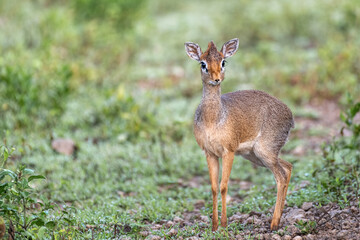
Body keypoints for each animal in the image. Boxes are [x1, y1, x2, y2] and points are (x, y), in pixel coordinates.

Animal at [184, 39, 294, 231]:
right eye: (203, 63)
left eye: (223, 61)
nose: (216, 79)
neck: (213, 119)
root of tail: (290, 115)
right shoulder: (210, 153)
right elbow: (214, 187)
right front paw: (214, 226)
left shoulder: (229, 152)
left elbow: (224, 186)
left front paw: (224, 224)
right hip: (256, 155)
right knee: (287, 167)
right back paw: (278, 220)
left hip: (265, 152)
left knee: (280, 176)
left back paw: (273, 224)